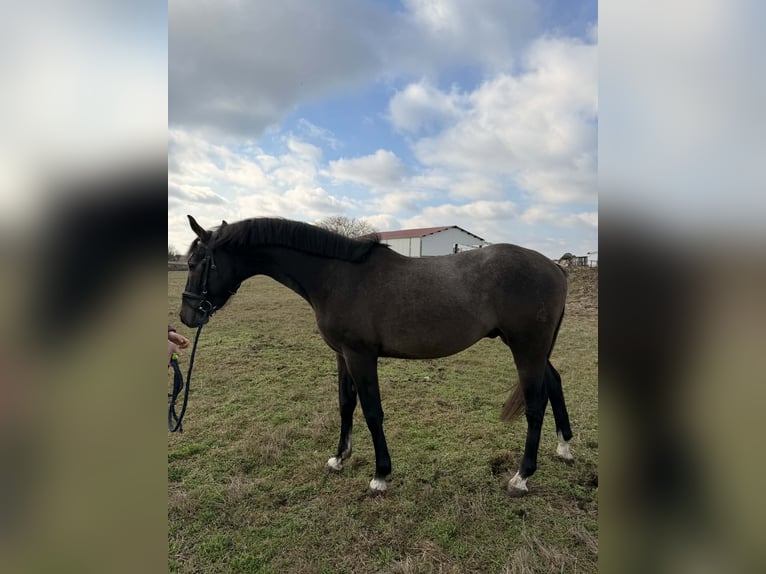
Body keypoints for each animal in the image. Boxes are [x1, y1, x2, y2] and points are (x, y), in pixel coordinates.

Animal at [179, 215, 574, 495]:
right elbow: (345, 404)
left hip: (526, 347)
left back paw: (521, 476)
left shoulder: (360, 356)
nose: (188, 316)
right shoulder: (341, 355)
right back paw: (565, 447)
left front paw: (380, 475)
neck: (336, 275)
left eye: (198, 263)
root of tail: (556, 267)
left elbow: (372, 411)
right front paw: (339, 458)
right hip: (532, 348)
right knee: (554, 383)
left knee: (535, 403)